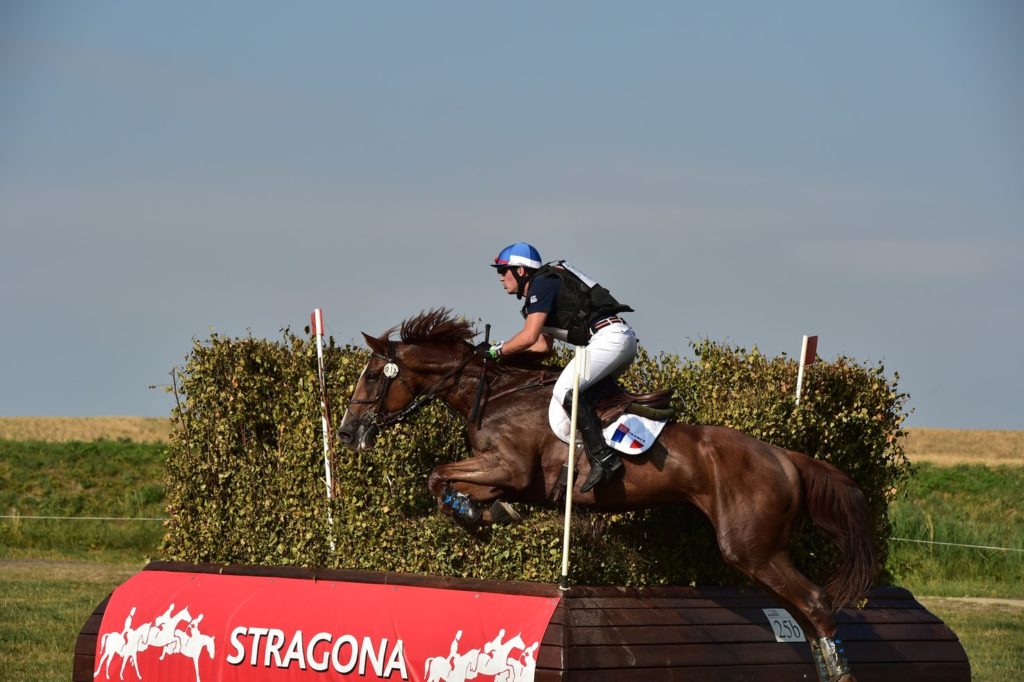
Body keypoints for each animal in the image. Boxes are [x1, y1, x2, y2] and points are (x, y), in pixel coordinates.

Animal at [339, 309, 876, 679]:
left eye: (372, 376)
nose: (346, 433)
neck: (493, 396)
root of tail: (786, 457)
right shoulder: (499, 473)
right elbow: (448, 482)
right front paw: (483, 511)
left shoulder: (510, 468)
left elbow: (437, 475)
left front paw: (477, 512)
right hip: (760, 554)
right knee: (805, 613)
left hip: (751, 548)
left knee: (816, 604)